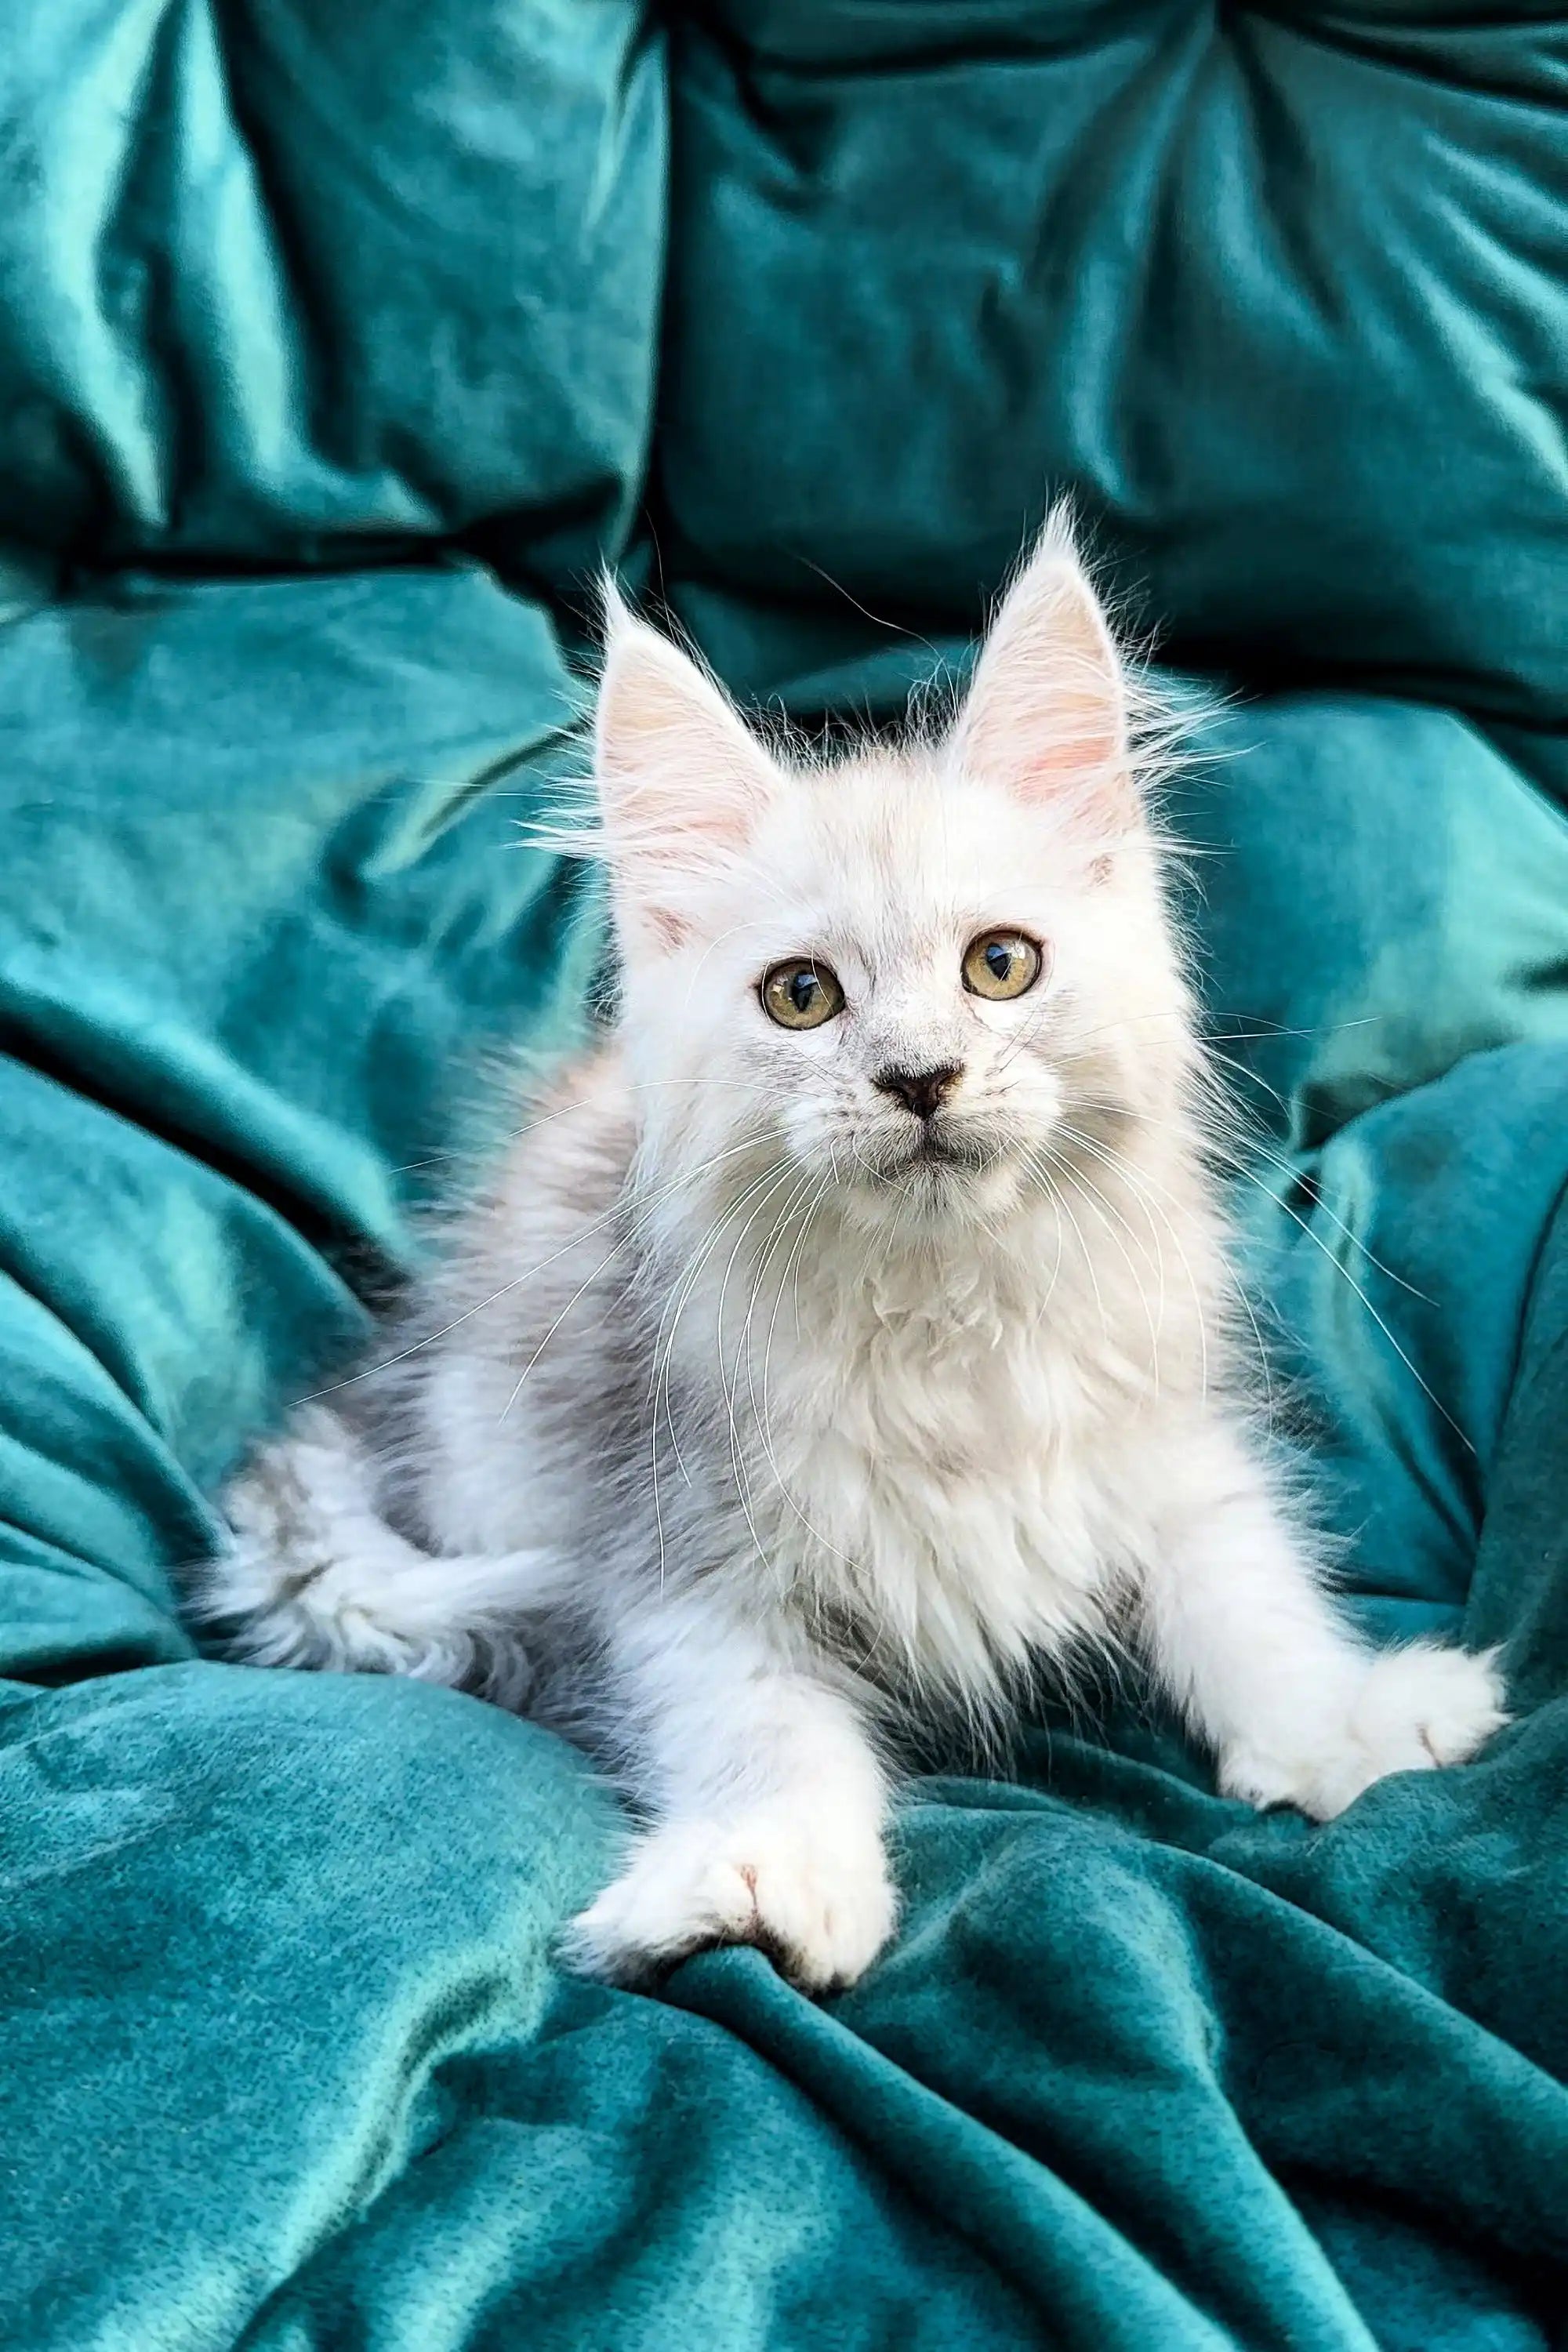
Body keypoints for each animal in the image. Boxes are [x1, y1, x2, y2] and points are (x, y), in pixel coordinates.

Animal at [199, 515, 1504, 1985]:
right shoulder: (678, 1554)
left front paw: (1346, 1725)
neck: (947, 1317)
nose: (920, 1077)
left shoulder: (1164, 1446)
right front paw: (762, 1874)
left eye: (1001, 966)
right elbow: (764, 1728)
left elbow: (1247, 1598)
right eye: (802, 996)